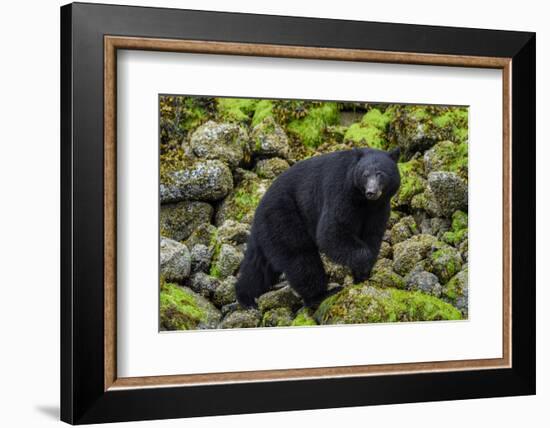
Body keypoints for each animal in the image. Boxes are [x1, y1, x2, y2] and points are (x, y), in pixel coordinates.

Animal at [236, 147, 402, 308]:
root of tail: (259, 206)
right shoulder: (341, 193)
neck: (364, 202)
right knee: (301, 257)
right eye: (365, 174)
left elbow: (372, 235)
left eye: (380, 174)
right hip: (283, 216)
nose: (371, 192)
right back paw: (321, 295)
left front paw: (362, 275)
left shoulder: (379, 209)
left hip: (268, 230)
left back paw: (246, 298)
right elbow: (332, 232)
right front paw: (363, 264)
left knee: (258, 265)